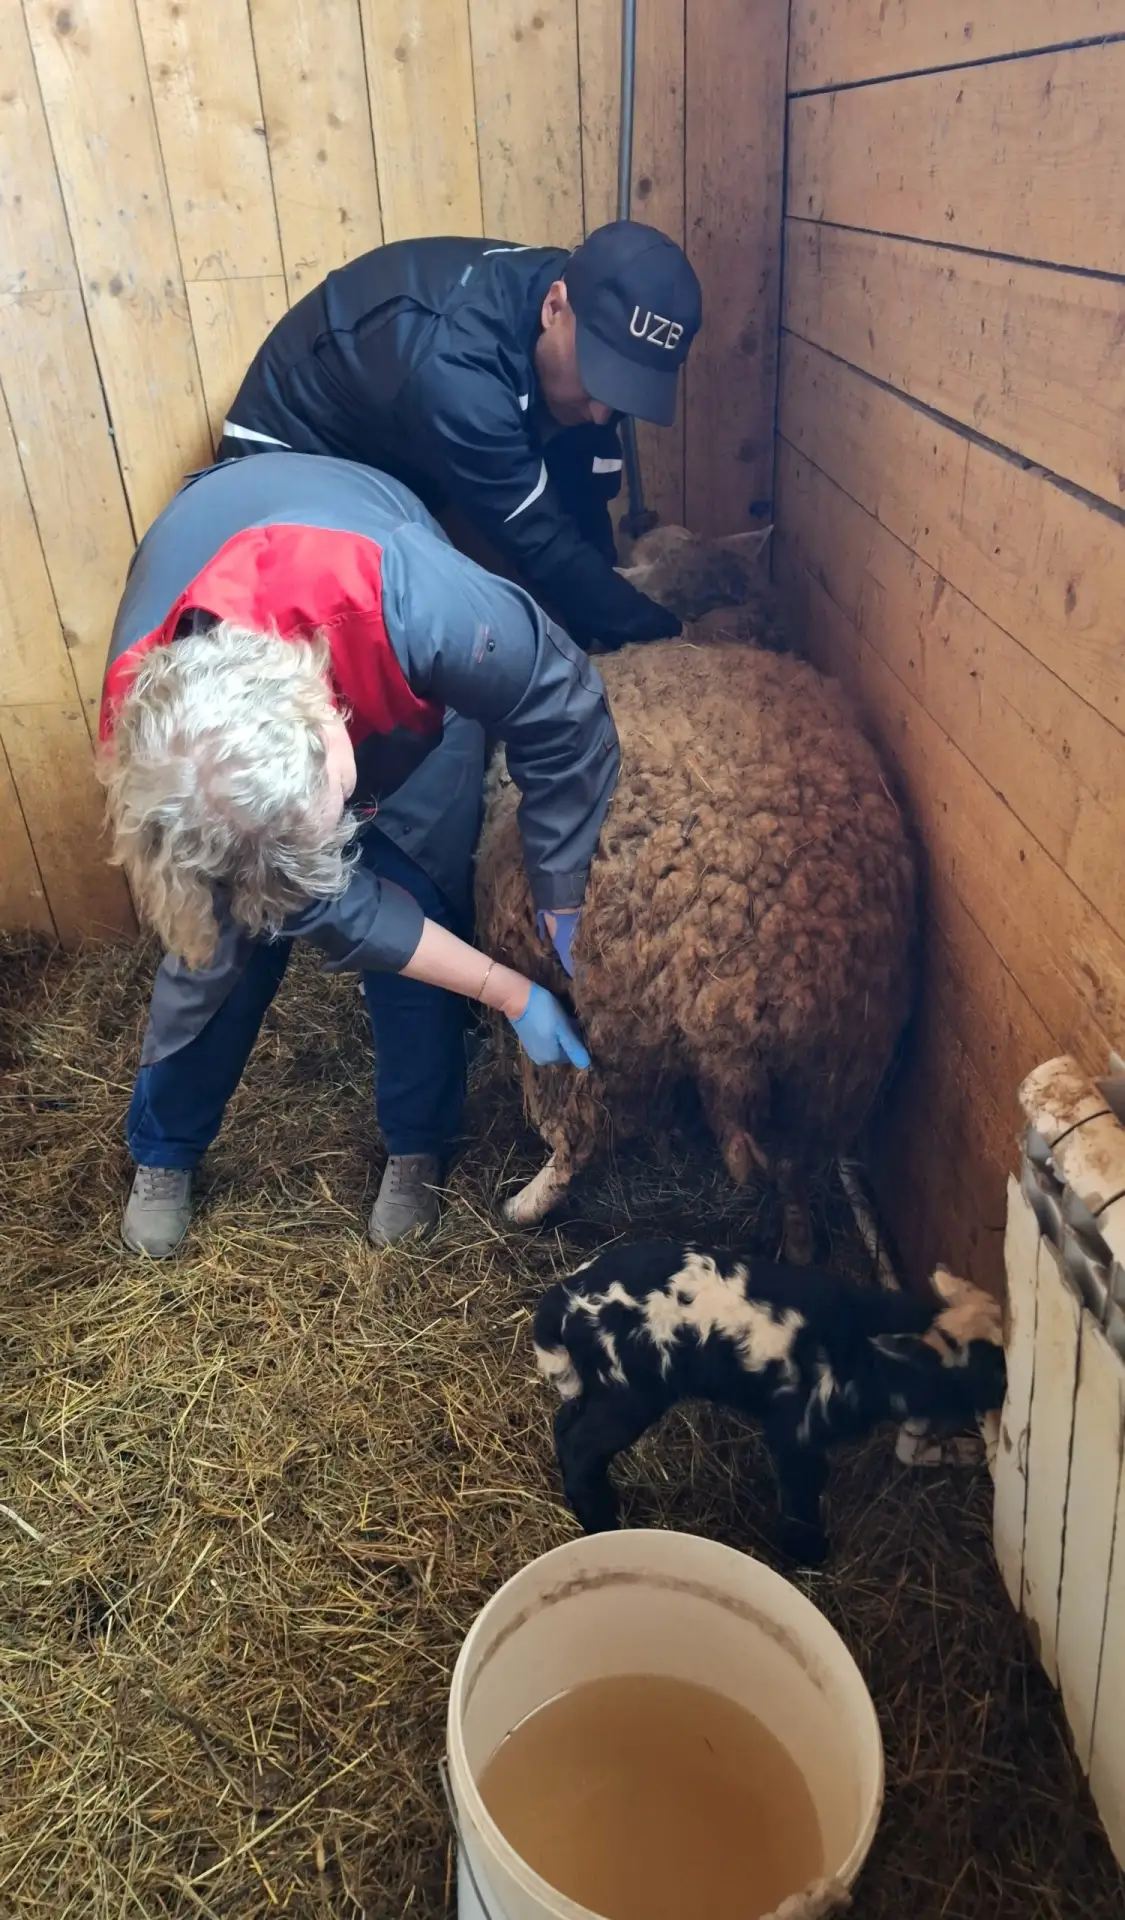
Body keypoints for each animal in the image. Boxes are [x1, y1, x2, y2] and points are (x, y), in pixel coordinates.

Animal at [474, 541, 917, 1260]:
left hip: (606, 1038)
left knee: (577, 1137)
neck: (712, 628)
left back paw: (523, 1201)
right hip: (826, 1079)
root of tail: (735, 1001)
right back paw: (799, 1244)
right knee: (793, 1174)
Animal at [534, 1242, 1006, 1565]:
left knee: (565, 1425)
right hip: (629, 1392)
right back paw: (601, 1521)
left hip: (599, 1386)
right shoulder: (796, 1428)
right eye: (993, 1367)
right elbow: (801, 1490)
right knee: (579, 1448)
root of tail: (563, 1297)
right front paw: (811, 1553)